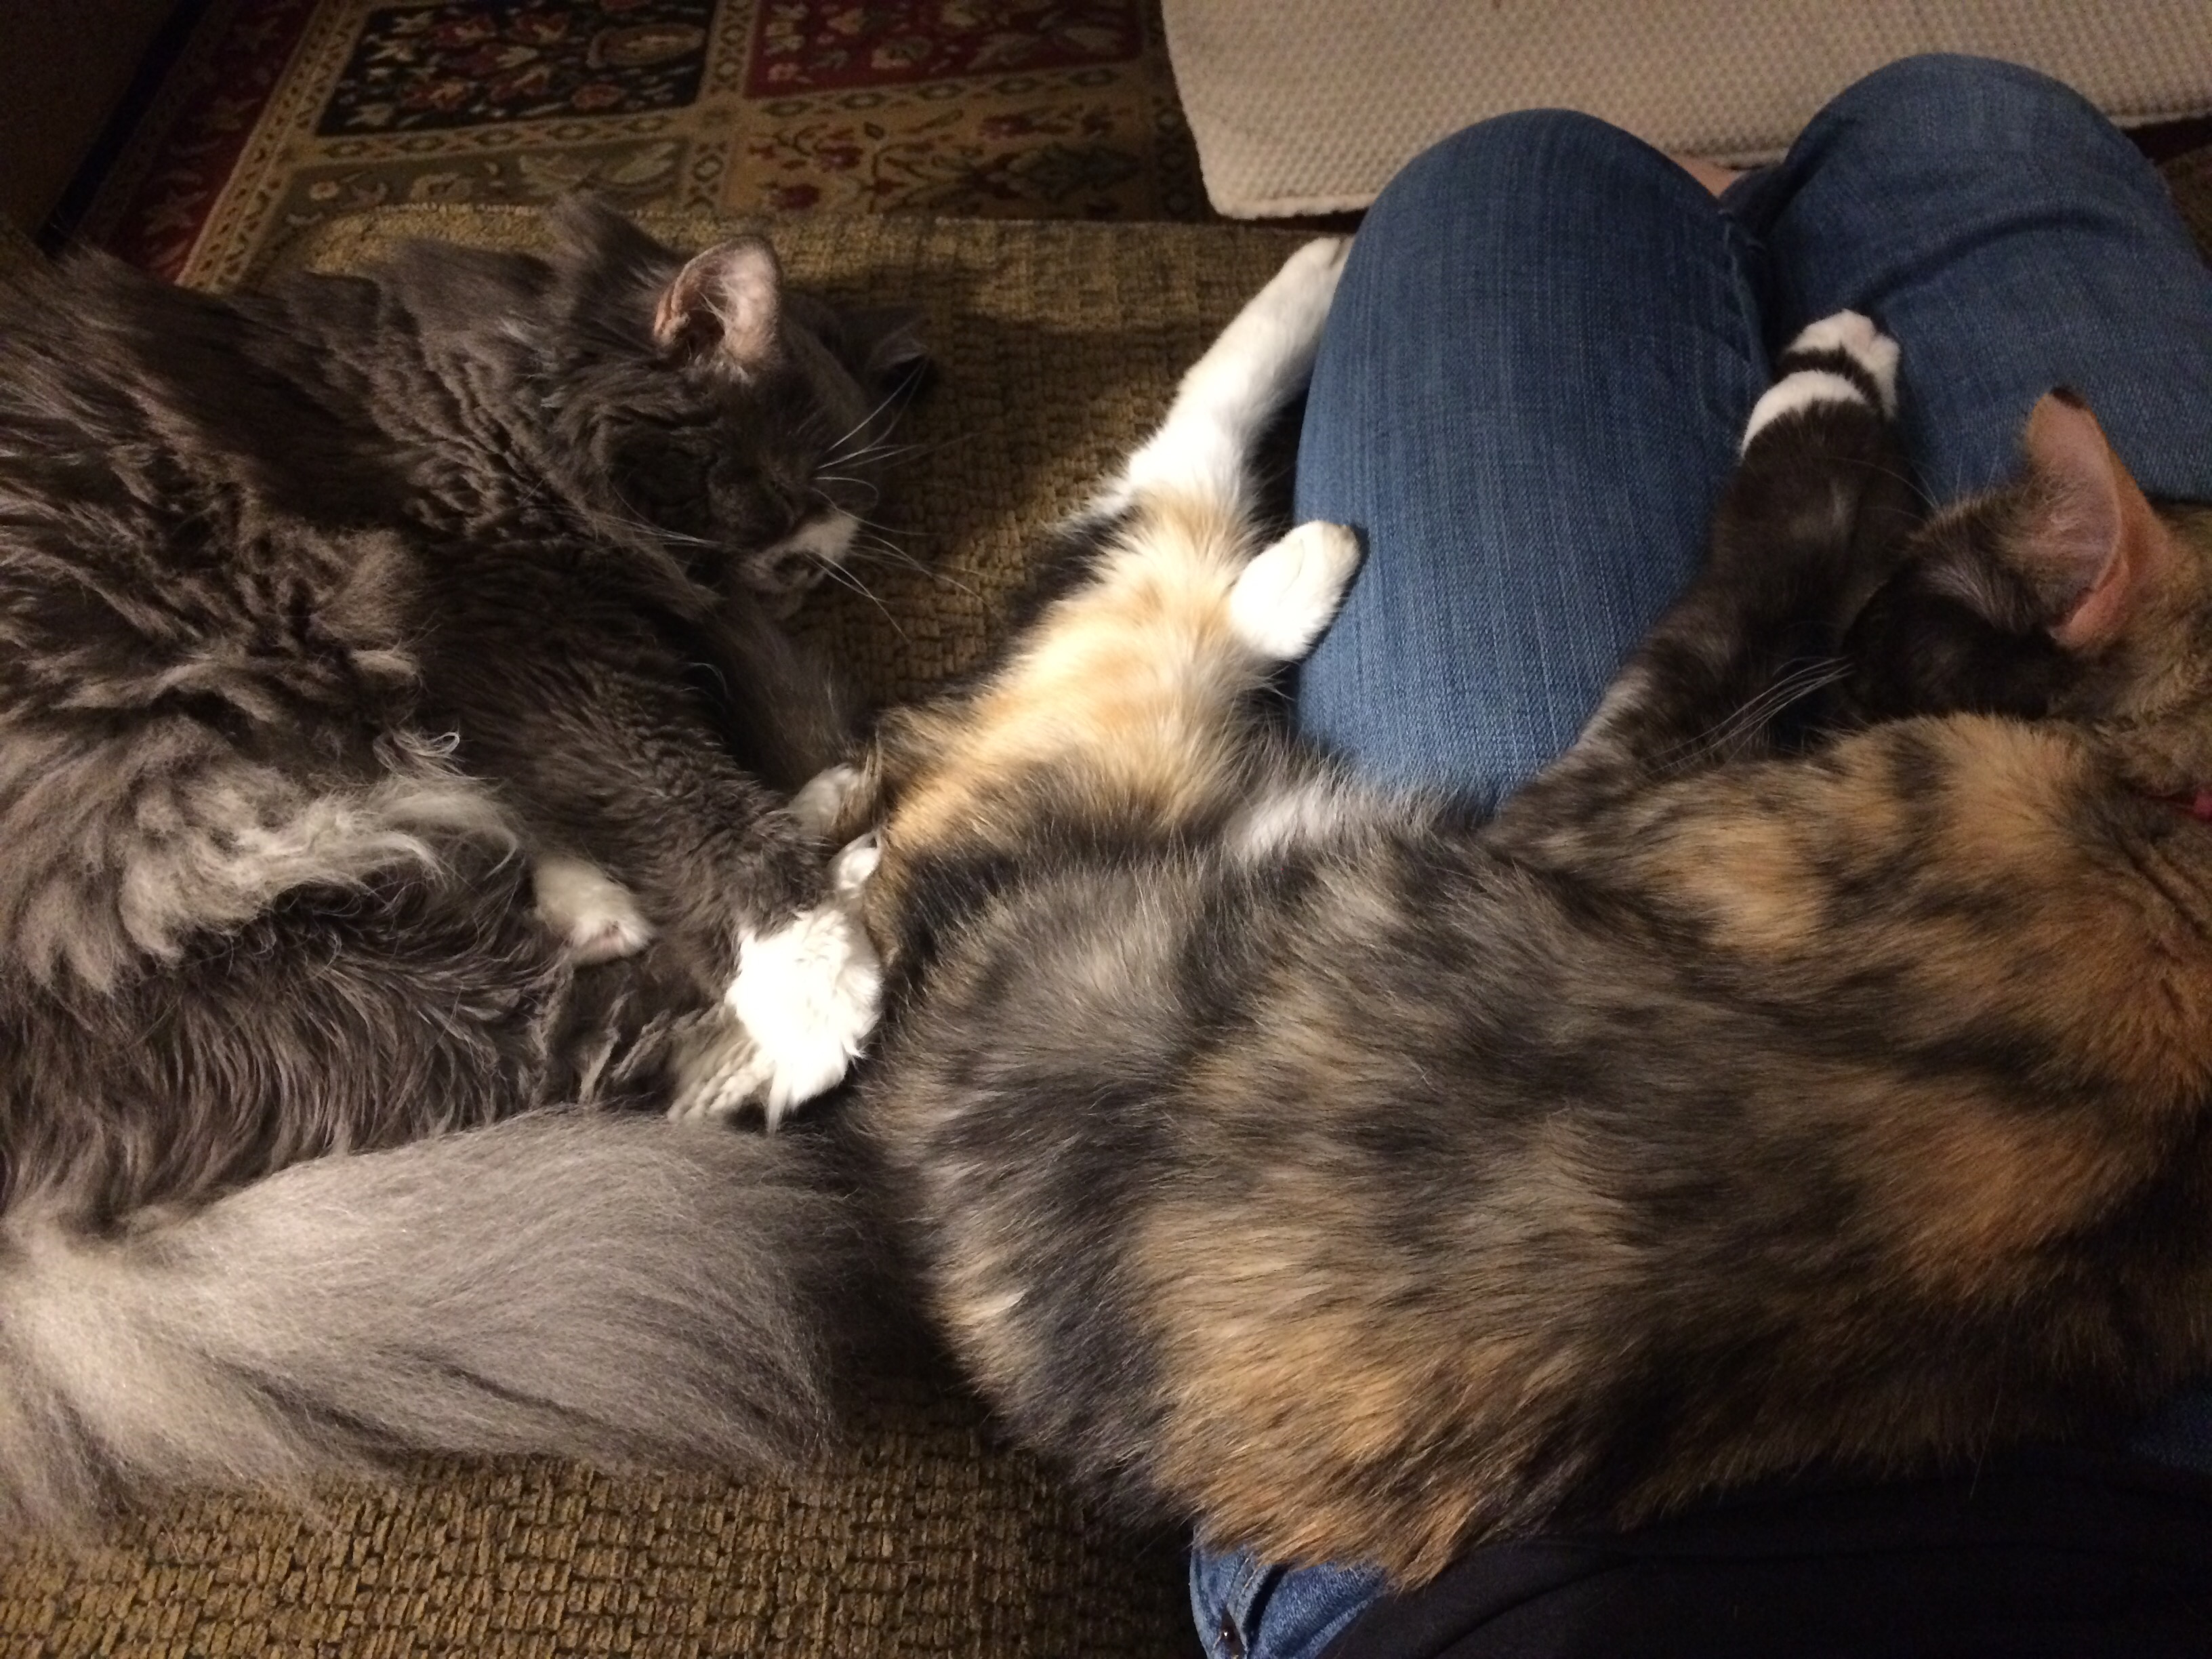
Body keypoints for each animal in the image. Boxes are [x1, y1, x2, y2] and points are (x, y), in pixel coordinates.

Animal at [0, 198, 920, 1531]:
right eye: (778, 496)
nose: (794, 579)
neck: (473, 385)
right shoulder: (526, 633)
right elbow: (674, 792)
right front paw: (808, 946)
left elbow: (606, 792)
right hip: (270, 932)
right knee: (589, 1053)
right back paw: (821, 960)